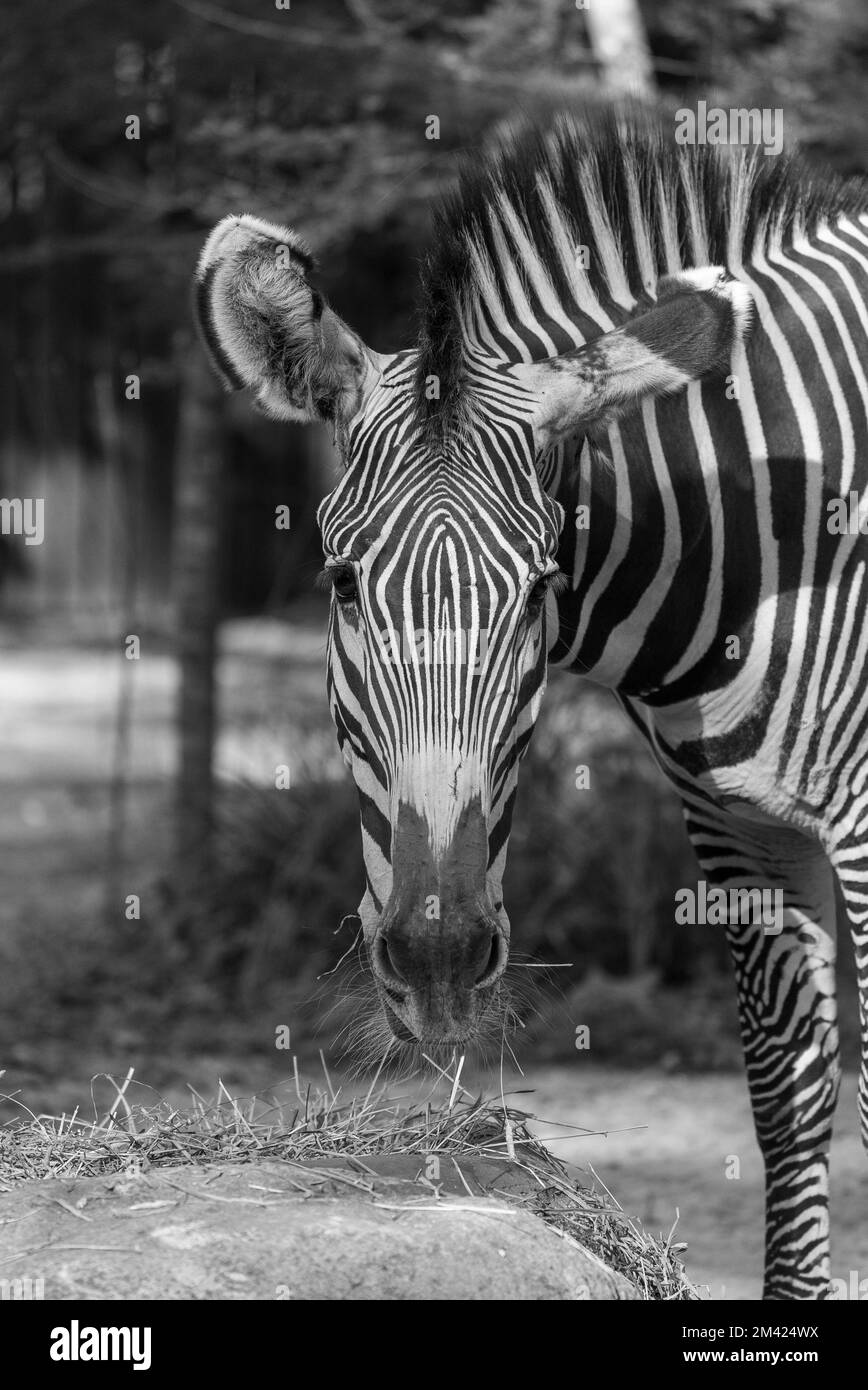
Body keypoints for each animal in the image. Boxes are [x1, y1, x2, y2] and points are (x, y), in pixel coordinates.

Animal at [194, 111, 868, 1301]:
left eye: (541, 586)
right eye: (342, 585)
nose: (439, 963)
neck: (764, 537)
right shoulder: (740, 826)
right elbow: (788, 1100)